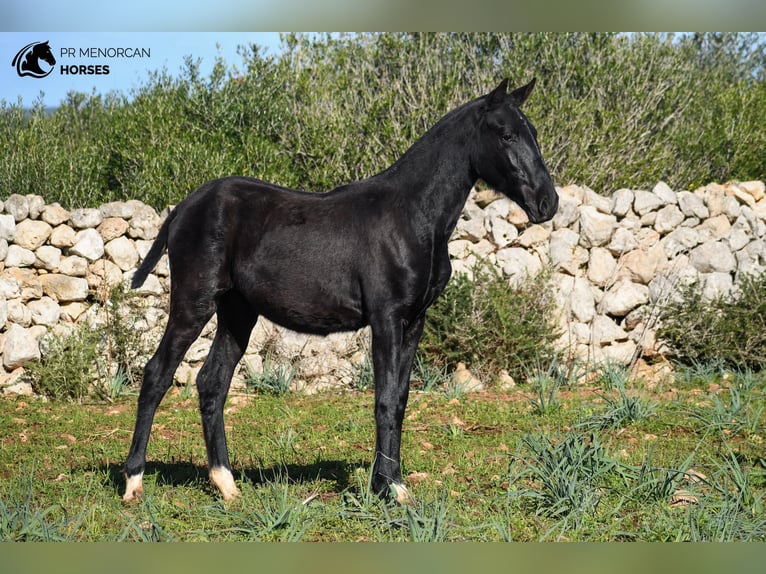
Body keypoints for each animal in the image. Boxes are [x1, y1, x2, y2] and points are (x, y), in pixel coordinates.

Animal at [124, 80, 560, 504]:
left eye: (534, 133)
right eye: (506, 134)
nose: (548, 203)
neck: (413, 217)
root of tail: (182, 208)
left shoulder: (414, 322)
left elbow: (400, 399)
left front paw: (387, 483)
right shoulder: (386, 319)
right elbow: (384, 399)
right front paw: (391, 489)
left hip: (237, 312)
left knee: (212, 382)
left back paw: (226, 483)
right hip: (193, 304)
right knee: (157, 374)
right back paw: (133, 482)